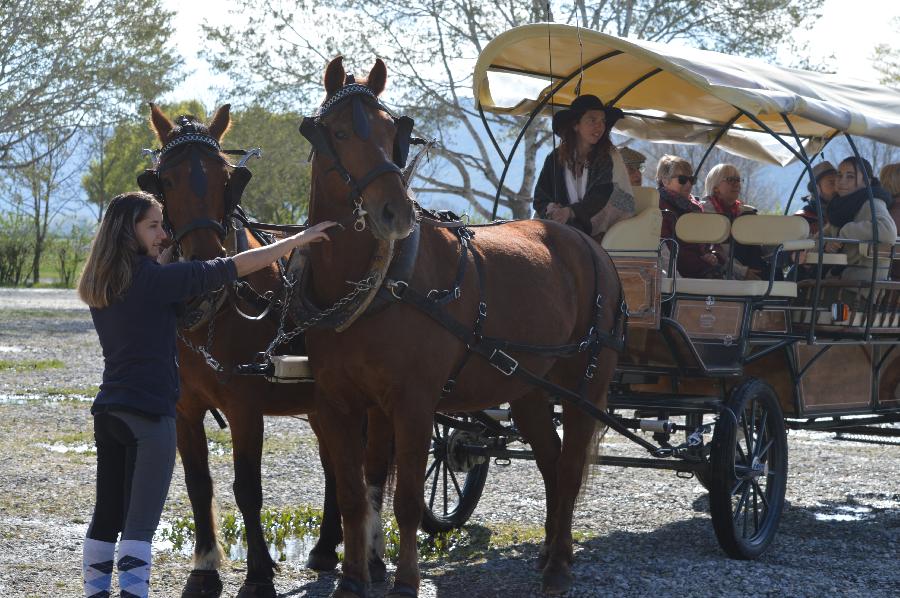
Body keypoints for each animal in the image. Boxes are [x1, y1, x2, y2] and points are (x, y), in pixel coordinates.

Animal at [144, 105, 390, 596]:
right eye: (168, 180)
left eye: (227, 177)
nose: (208, 262)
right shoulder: (184, 409)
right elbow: (199, 484)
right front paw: (205, 566)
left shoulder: (245, 406)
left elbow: (247, 488)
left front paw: (258, 572)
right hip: (320, 404)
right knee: (335, 466)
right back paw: (325, 548)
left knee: (370, 469)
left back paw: (371, 556)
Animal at [306, 57, 624, 598]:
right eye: (340, 131)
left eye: (392, 131)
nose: (396, 212)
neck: (380, 283)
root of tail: (588, 245)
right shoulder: (337, 403)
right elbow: (353, 494)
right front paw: (351, 580)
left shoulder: (412, 403)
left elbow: (406, 501)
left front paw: (405, 582)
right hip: (528, 388)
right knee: (552, 461)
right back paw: (547, 552)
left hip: (585, 381)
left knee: (571, 461)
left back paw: (559, 563)